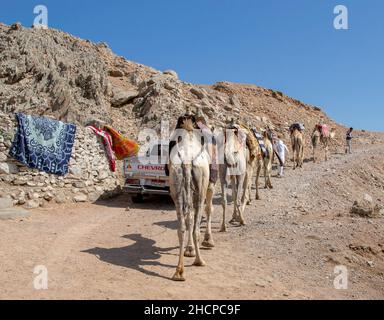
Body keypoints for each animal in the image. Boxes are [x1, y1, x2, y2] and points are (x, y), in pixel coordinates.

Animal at [169, 117, 214, 280]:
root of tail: (187, 161)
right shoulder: (208, 186)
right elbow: (208, 209)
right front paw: (208, 241)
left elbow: (189, 218)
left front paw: (189, 249)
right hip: (201, 188)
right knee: (195, 228)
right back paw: (199, 261)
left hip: (176, 186)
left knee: (182, 227)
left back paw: (179, 271)